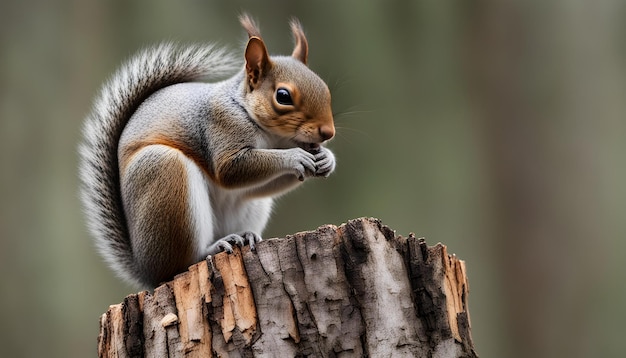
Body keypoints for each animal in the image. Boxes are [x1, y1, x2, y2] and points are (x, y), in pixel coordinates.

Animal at [79, 14, 336, 288]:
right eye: (283, 96)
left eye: (325, 88)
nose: (328, 132)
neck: (271, 136)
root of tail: (147, 273)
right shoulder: (221, 127)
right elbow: (230, 171)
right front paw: (294, 157)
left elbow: (263, 184)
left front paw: (326, 159)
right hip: (164, 172)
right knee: (182, 262)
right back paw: (214, 247)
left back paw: (245, 236)